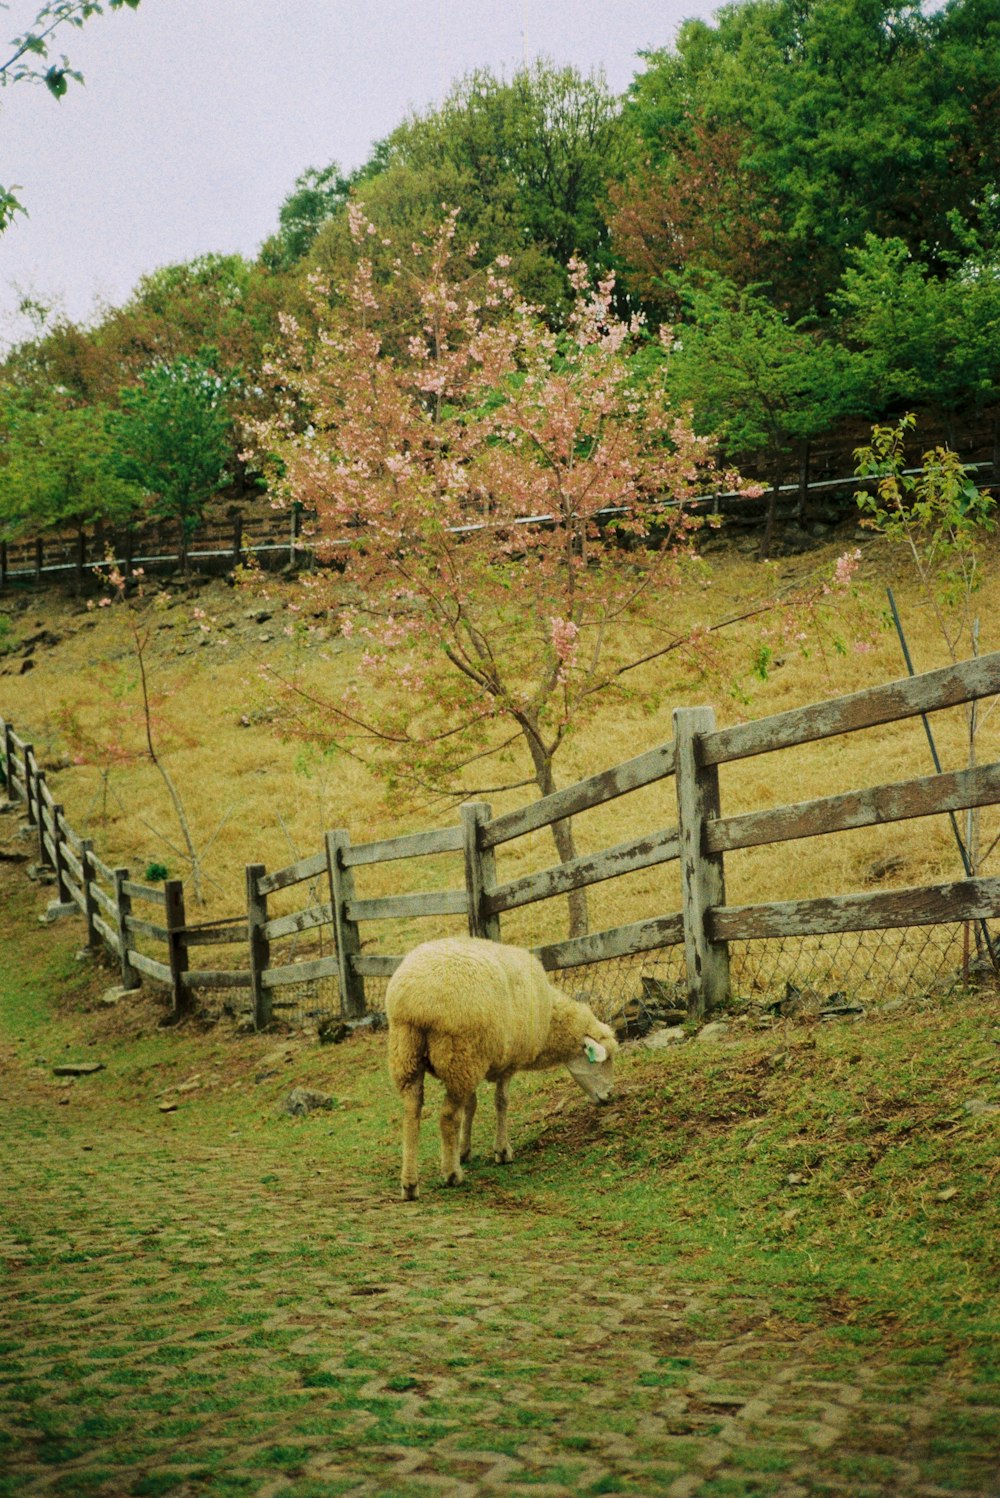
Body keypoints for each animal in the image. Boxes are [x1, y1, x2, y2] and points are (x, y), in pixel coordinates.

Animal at [386, 934, 613, 1204]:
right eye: (603, 1061)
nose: (610, 1097)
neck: (548, 1020)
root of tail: (417, 1001)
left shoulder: (476, 1061)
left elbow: (471, 1106)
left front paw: (464, 1150)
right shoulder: (505, 1063)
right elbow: (502, 1102)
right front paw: (502, 1151)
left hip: (412, 1052)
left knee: (411, 1113)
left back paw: (410, 1184)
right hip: (458, 1053)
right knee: (448, 1117)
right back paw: (452, 1175)